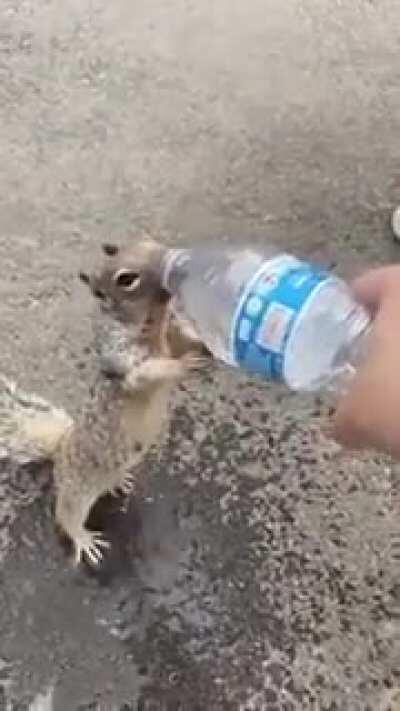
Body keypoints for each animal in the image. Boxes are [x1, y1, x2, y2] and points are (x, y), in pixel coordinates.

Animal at [0, 239, 209, 566]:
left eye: (149, 242)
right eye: (126, 279)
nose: (174, 263)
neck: (154, 324)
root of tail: (60, 450)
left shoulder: (168, 336)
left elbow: (179, 340)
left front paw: (201, 342)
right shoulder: (123, 359)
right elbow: (148, 373)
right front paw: (185, 364)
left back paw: (118, 483)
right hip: (77, 489)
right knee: (66, 515)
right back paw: (83, 539)